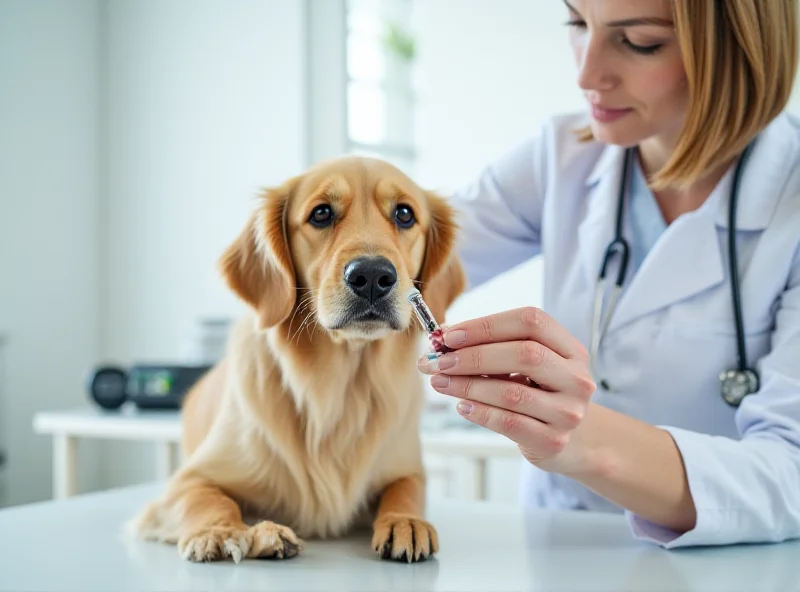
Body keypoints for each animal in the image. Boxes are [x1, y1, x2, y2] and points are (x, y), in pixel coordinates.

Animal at [129, 156, 466, 564]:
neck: (340, 388)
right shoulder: (187, 480)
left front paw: (405, 522)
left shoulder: (408, 469)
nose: (372, 275)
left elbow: (406, 489)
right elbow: (206, 499)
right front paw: (220, 531)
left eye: (404, 214)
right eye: (321, 213)